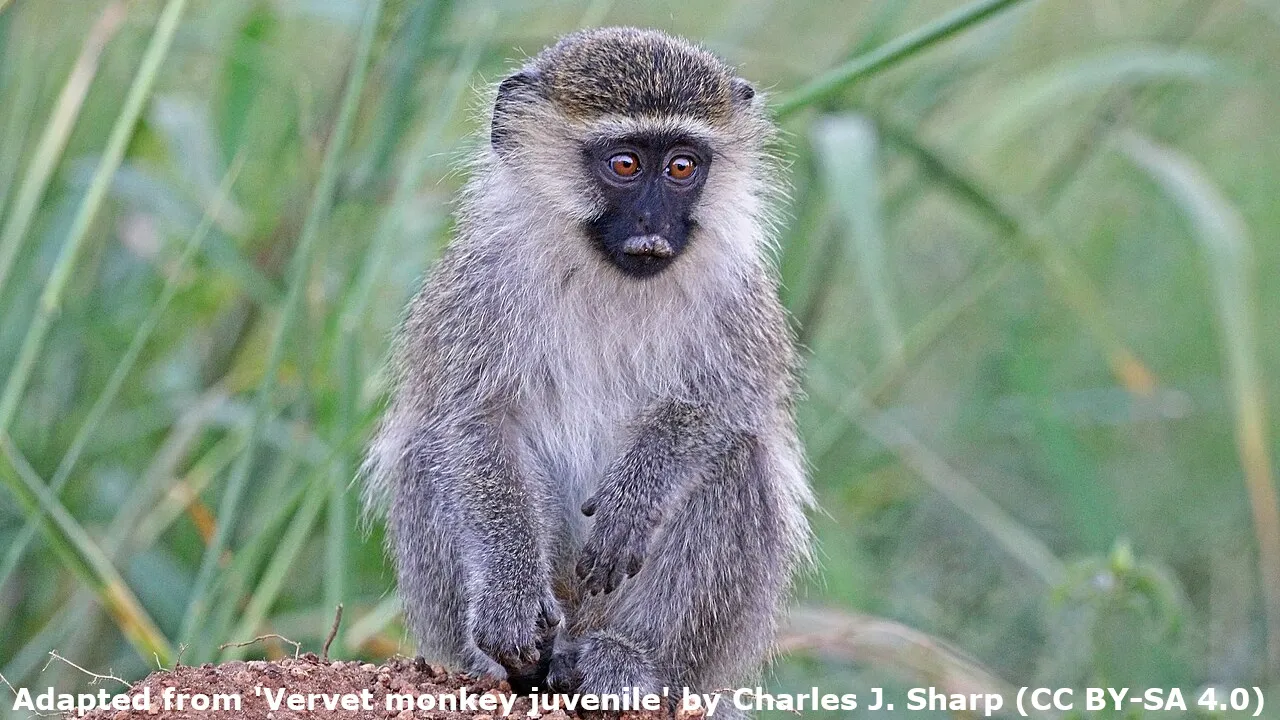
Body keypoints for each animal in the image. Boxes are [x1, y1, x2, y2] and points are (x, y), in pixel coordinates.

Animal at [363, 27, 812, 712]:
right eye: (624, 164)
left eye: (682, 166)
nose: (652, 223)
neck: (610, 276)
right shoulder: (479, 285)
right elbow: (472, 421)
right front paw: (509, 600)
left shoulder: (742, 295)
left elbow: (723, 407)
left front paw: (636, 495)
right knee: (427, 451)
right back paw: (508, 665)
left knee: (740, 461)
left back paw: (626, 659)